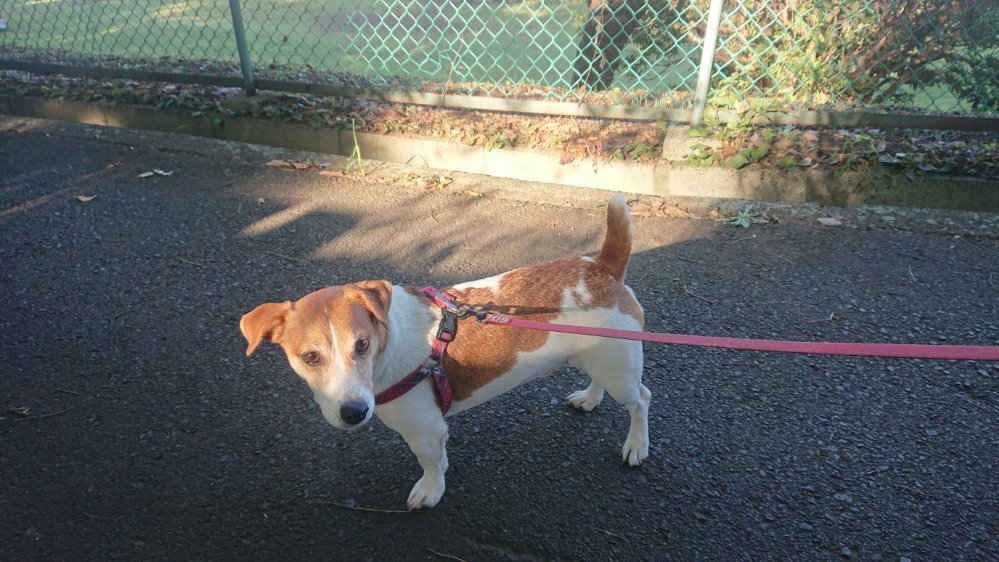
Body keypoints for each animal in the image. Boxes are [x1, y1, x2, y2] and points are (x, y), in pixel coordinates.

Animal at [240, 194, 650, 509]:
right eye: (310, 357)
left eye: (362, 344)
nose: (354, 413)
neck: (389, 347)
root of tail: (602, 268)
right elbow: (438, 458)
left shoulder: (424, 428)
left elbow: (430, 463)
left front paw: (430, 490)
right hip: (600, 355)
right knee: (600, 380)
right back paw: (590, 399)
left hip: (621, 370)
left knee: (641, 400)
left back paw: (636, 445)